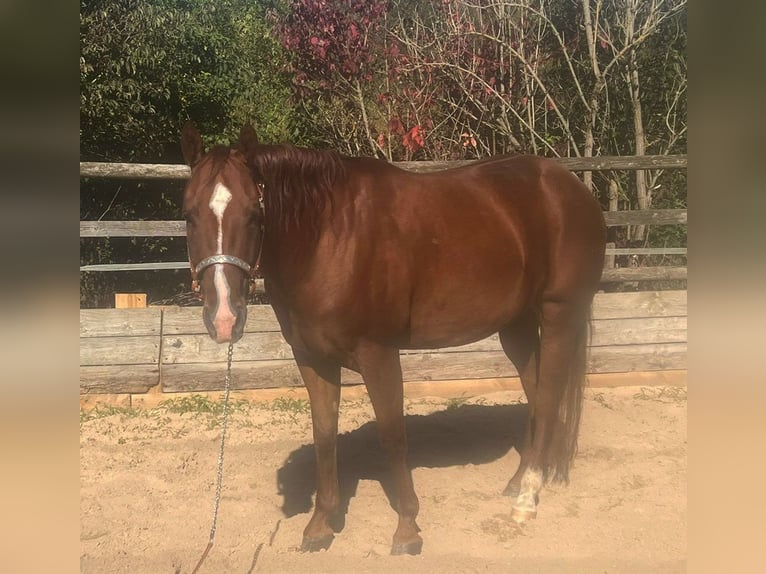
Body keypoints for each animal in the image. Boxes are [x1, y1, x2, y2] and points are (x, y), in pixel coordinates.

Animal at [180, 121, 606, 555]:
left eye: (254, 214)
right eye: (188, 214)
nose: (224, 317)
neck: (329, 238)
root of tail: (569, 186)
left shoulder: (379, 353)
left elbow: (392, 434)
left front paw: (407, 528)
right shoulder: (313, 357)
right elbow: (324, 434)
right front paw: (321, 524)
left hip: (559, 314)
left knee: (549, 395)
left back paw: (527, 499)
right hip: (516, 326)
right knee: (536, 393)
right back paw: (519, 482)